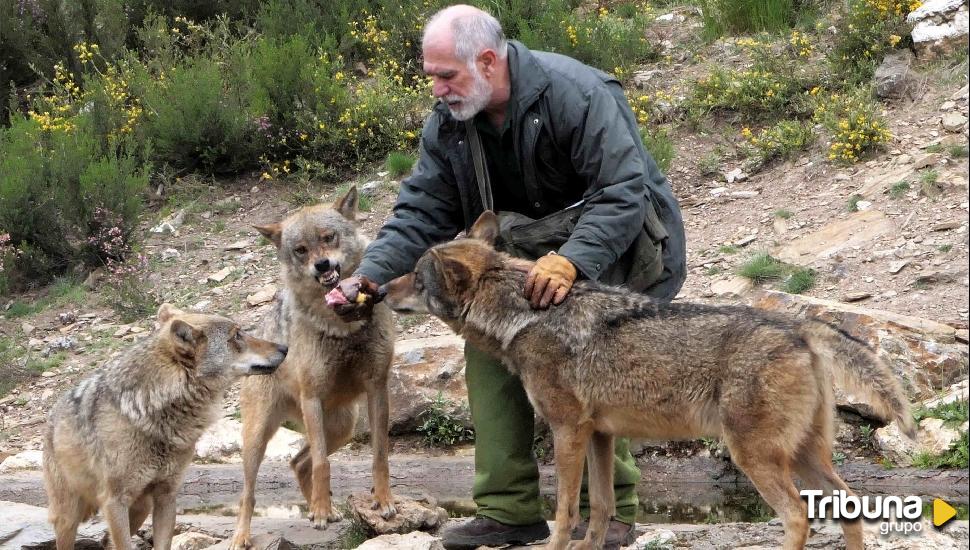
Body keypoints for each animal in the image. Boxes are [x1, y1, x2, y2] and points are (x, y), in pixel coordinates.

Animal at [43, 304, 286, 548]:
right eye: (237, 335)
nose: (284, 347)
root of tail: (51, 415)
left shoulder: (167, 496)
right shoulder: (114, 502)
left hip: (141, 508)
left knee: (106, 541)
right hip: (69, 518)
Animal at [229, 188, 396, 548]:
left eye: (328, 237)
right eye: (301, 250)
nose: (321, 264)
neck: (341, 329)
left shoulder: (378, 387)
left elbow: (379, 455)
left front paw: (384, 500)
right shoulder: (312, 397)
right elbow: (323, 464)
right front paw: (319, 511)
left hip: (344, 426)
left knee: (297, 462)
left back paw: (326, 511)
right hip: (258, 439)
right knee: (250, 492)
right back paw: (244, 535)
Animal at [380, 211, 916, 550]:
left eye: (416, 278)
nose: (381, 289)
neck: (522, 316)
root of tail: (799, 325)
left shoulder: (568, 431)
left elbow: (565, 513)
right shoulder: (599, 435)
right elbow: (599, 510)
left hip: (755, 456)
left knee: (798, 517)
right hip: (804, 455)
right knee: (850, 505)